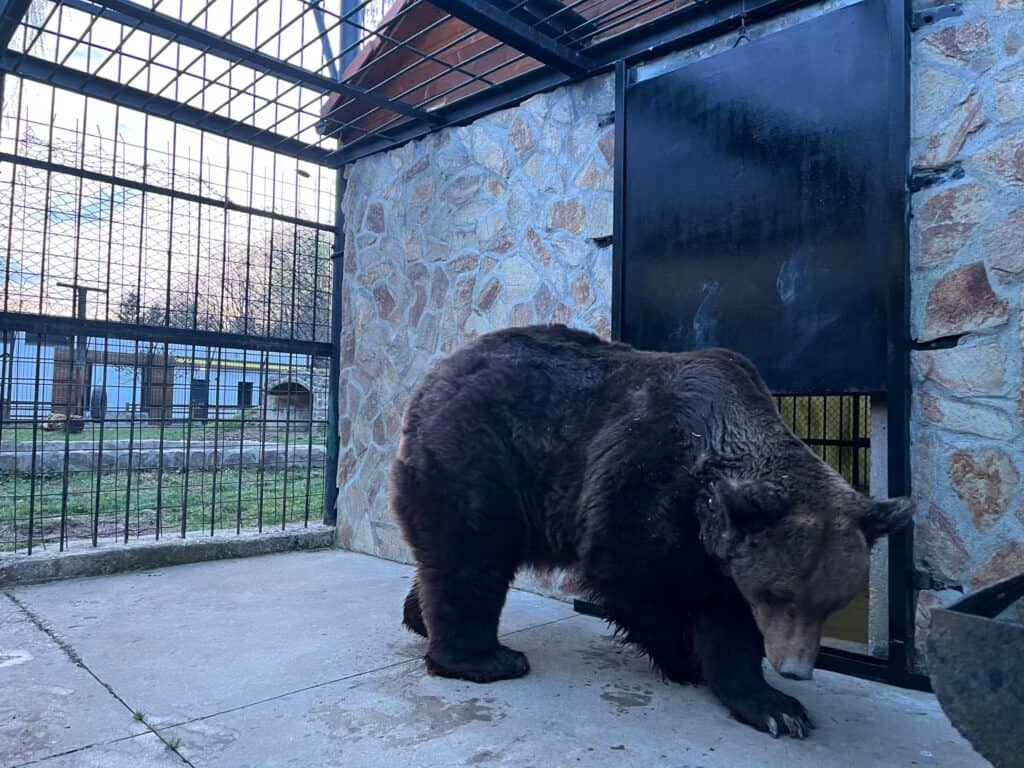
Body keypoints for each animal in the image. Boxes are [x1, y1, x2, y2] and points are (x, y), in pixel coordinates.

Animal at [389, 325, 913, 741]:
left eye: (831, 604)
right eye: (780, 595)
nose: (796, 669)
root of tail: (433, 377)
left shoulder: (719, 544)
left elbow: (729, 619)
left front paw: (776, 707)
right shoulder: (644, 478)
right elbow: (631, 579)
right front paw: (686, 659)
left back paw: (419, 618)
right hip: (481, 457)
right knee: (471, 560)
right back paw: (486, 659)